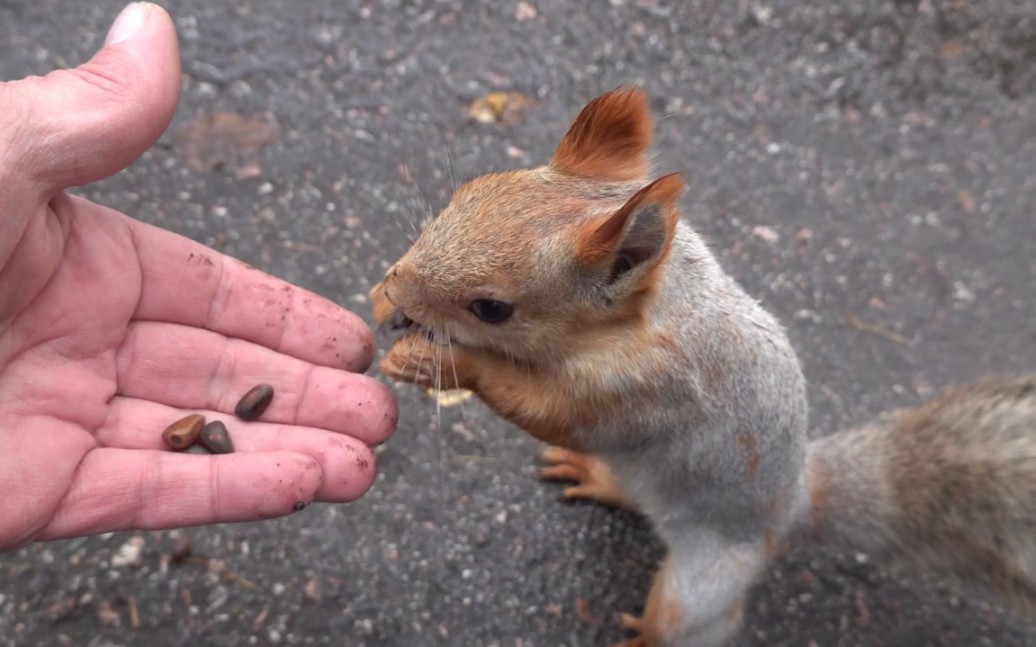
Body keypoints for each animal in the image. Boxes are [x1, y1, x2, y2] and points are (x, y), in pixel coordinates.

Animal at [364, 86, 1036, 645]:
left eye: (493, 309)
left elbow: (553, 411)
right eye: (470, 191)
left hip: (708, 577)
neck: (648, 315)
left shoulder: (652, 389)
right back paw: (598, 478)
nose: (397, 288)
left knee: (688, 622)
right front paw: (383, 298)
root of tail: (794, 506)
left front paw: (440, 362)